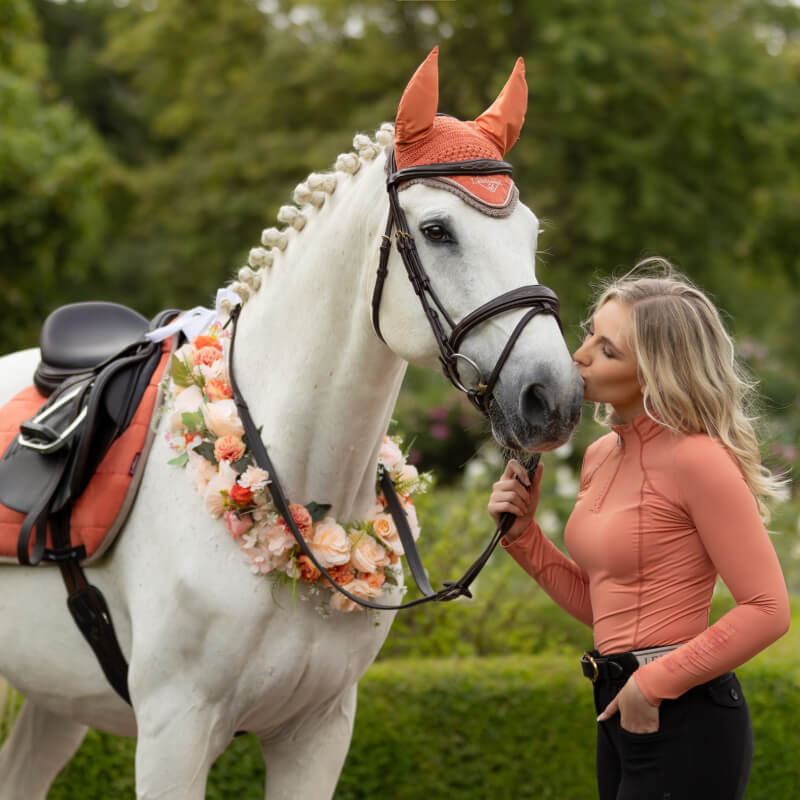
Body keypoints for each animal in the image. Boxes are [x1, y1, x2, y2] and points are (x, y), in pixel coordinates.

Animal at [0, 53, 580, 796]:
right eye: (437, 230)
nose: (551, 397)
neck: (296, 490)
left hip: (56, 700)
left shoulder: (319, 732)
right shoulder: (173, 733)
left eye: (531, 233)